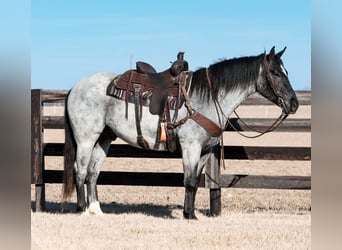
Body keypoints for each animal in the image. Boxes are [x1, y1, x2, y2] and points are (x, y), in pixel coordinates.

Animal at [62, 47, 298, 219]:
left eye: (287, 72)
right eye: (275, 72)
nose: (294, 104)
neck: (207, 98)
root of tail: (75, 88)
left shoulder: (205, 150)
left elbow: (195, 180)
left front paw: (190, 212)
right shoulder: (190, 147)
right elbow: (189, 180)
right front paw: (189, 215)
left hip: (104, 138)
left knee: (93, 173)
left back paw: (96, 210)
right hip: (86, 138)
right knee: (80, 171)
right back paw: (81, 209)